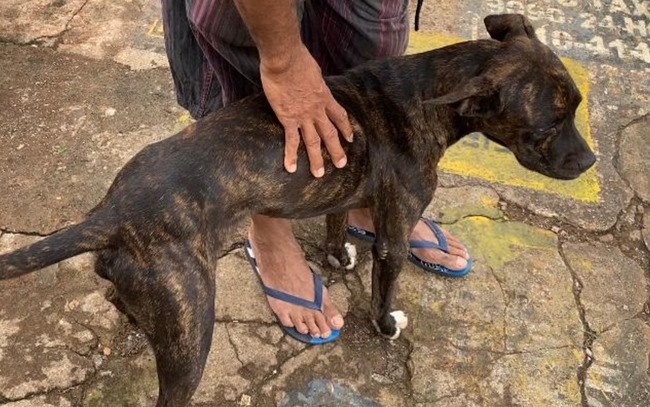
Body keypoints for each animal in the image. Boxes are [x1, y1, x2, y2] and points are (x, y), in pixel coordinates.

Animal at [0, 14, 592, 406]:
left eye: (579, 108)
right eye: (548, 124)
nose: (589, 162)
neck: (428, 91)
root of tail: (112, 213)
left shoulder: (343, 186)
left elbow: (337, 221)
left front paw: (337, 254)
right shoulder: (394, 238)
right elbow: (384, 287)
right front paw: (386, 324)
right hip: (192, 329)